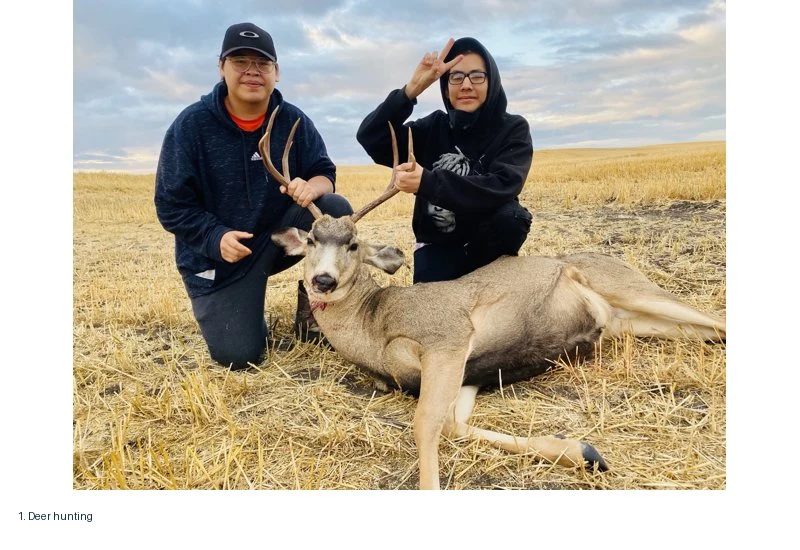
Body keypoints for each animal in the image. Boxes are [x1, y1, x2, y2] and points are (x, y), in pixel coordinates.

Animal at [260, 106, 727, 490]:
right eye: (311, 240)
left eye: (354, 244)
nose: (322, 281)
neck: (374, 326)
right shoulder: (469, 374)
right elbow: (452, 426)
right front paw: (584, 452)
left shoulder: (448, 335)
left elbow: (424, 424)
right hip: (634, 322)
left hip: (633, 288)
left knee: (717, 318)